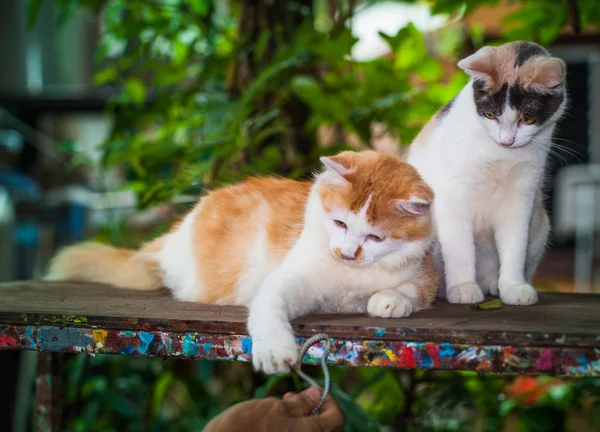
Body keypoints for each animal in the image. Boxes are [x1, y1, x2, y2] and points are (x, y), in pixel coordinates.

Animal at [408, 40, 568, 304]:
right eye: (490, 115)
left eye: (527, 119)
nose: (507, 141)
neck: (501, 155)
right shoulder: (455, 196)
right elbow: (460, 249)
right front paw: (462, 287)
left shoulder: (520, 197)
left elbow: (514, 246)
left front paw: (514, 286)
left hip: (540, 222)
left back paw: (495, 284)